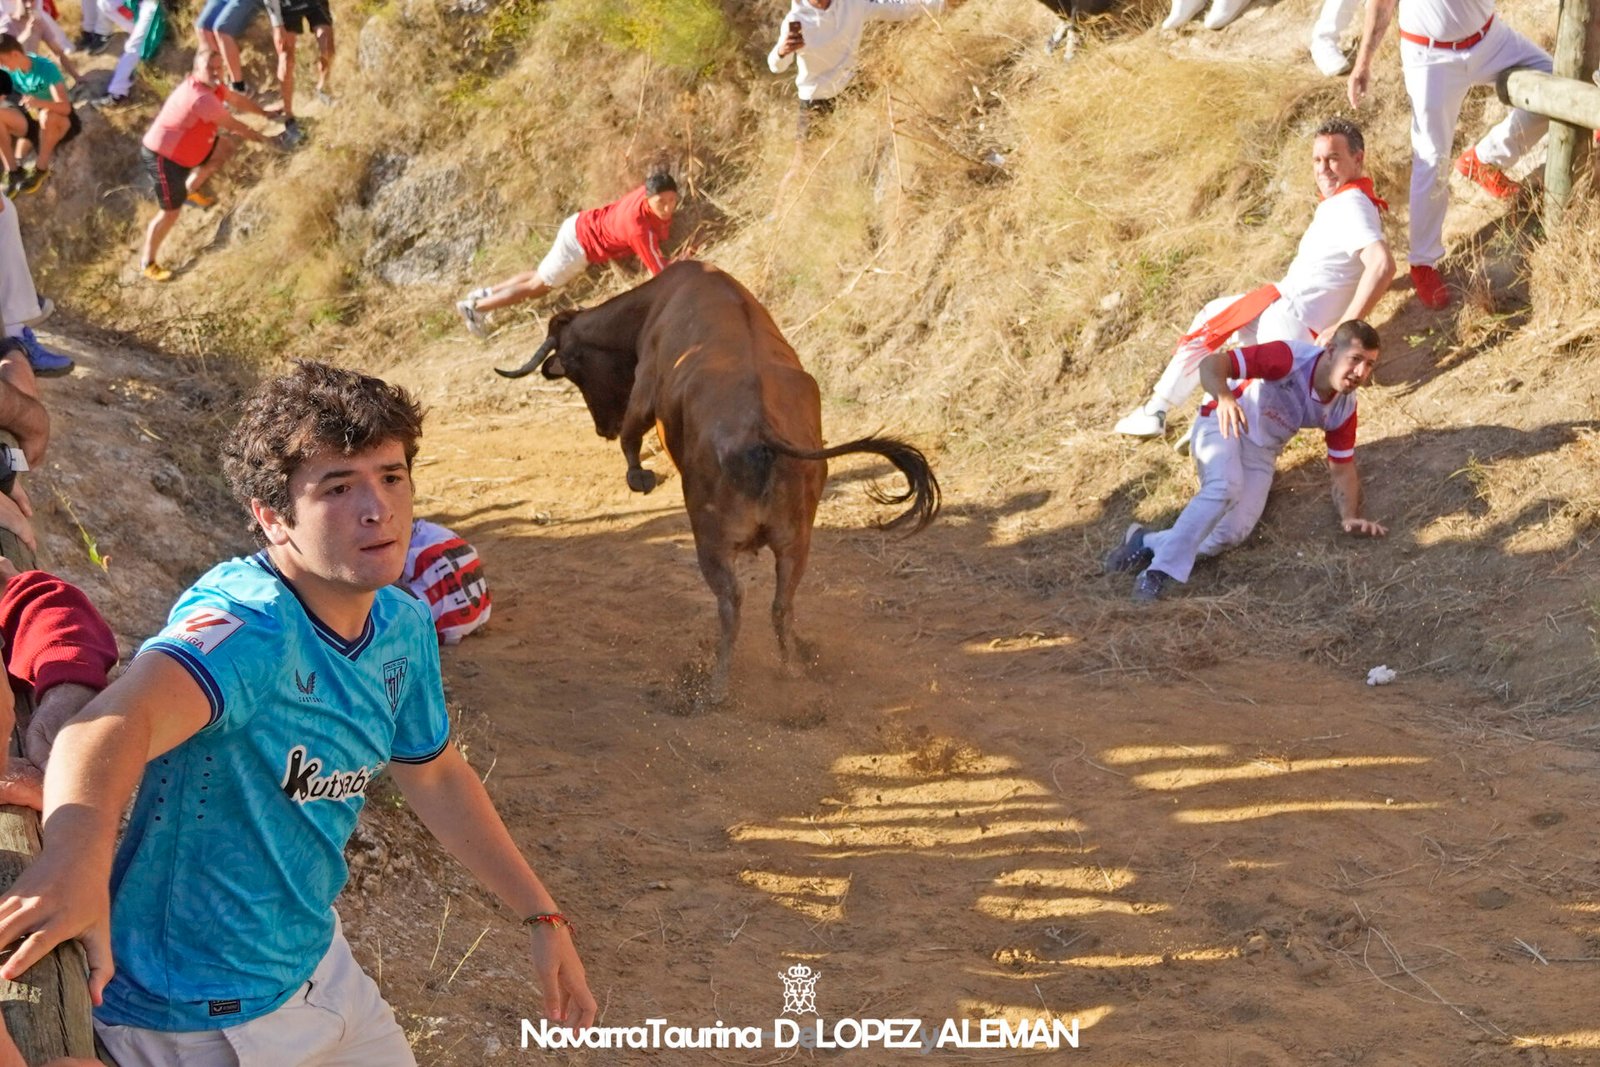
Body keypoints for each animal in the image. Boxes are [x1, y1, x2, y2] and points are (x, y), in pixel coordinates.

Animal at [499, 260, 934, 700]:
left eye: (575, 369)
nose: (603, 427)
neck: (656, 302)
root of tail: (762, 433)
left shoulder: (644, 387)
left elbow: (632, 434)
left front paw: (639, 476)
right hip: (796, 541)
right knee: (782, 604)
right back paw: (793, 666)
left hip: (712, 539)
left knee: (732, 602)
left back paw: (716, 685)